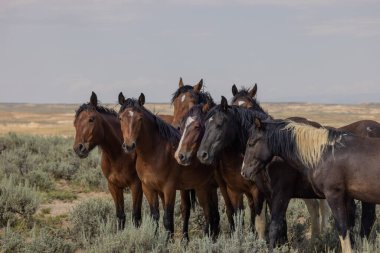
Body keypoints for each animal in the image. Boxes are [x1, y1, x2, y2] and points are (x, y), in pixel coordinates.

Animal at [72, 91, 142, 229]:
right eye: (75, 122)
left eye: (91, 119)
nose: (79, 148)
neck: (119, 156)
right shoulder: (114, 186)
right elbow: (121, 216)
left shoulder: (137, 186)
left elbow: (136, 217)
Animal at [118, 92, 220, 239]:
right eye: (120, 118)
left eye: (140, 118)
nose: (129, 145)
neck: (154, 153)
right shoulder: (148, 188)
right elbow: (155, 216)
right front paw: (156, 239)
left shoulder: (169, 189)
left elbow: (167, 218)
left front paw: (167, 240)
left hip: (204, 188)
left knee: (209, 212)